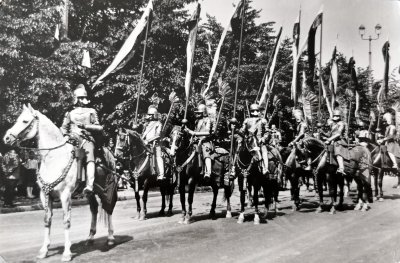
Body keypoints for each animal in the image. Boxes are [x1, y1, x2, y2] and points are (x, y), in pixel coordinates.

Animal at [3, 104, 115, 262]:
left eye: (25, 121)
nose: (7, 137)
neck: (53, 158)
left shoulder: (65, 195)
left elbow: (66, 222)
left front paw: (67, 253)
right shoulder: (45, 195)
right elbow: (47, 220)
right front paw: (44, 250)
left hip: (106, 188)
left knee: (108, 208)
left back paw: (110, 238)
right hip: (91, 193)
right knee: (94, 209)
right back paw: (90, 238)